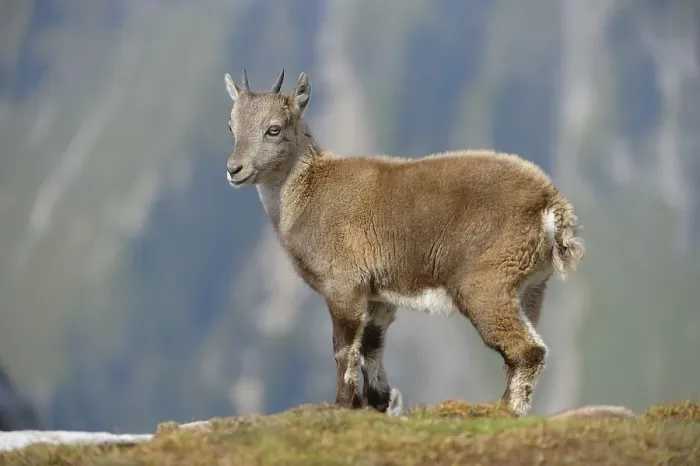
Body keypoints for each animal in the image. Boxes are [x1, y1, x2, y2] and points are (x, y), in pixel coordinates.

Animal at [223, 69, 585, 417]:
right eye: (231, 125)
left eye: (273, 129)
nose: (234, 169)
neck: (306, 194)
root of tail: (550, 204)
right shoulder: (377, 295)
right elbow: (371, 346)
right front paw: (377, 403)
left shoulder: (343, 286)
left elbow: (344, 349)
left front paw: (342, 406)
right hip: (530, 290)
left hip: (486, 283)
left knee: (527, 350)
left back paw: (504, 410)